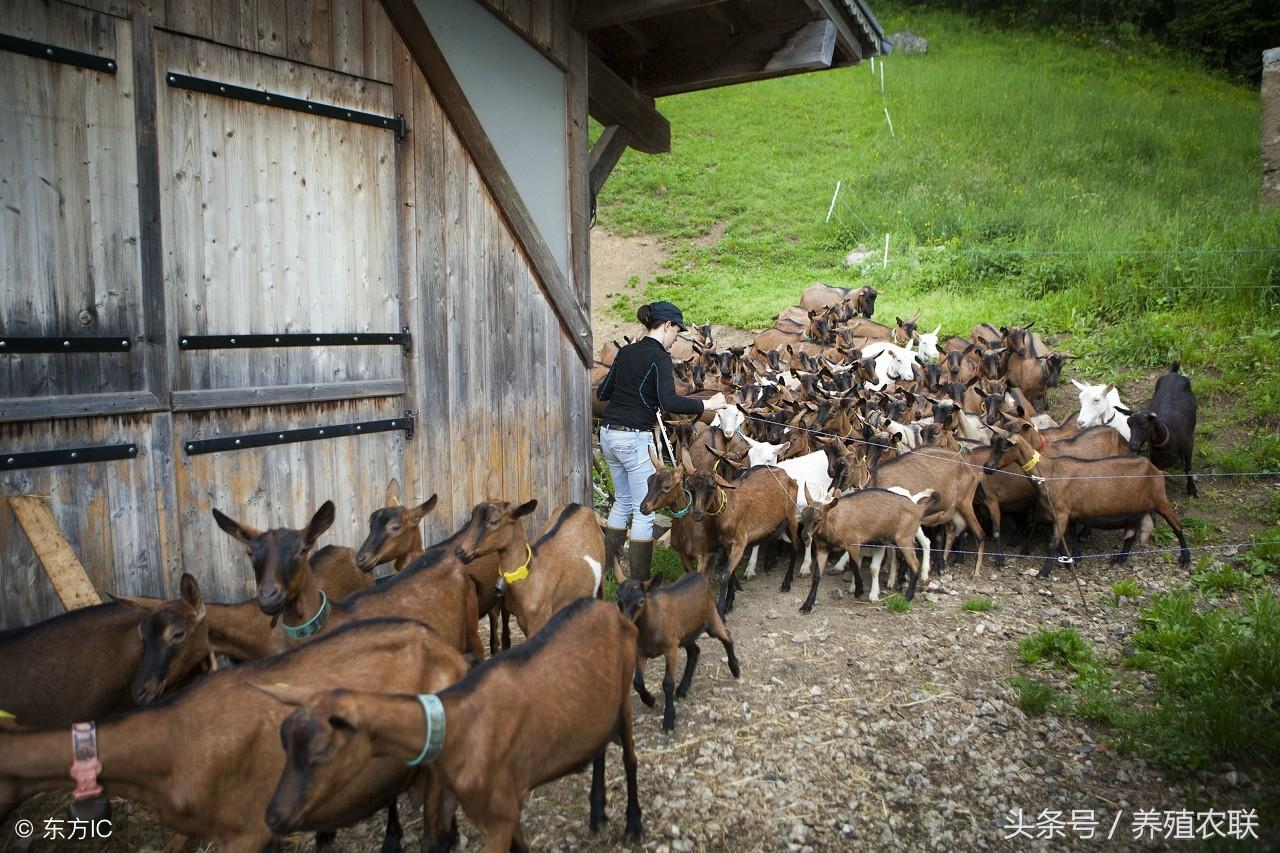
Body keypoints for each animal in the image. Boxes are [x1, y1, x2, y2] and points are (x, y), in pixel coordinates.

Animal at [256, 596, 645, 850]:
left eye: (320, 752)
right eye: (284, 742)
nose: (272, 817)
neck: (454, 724)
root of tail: (612, 610)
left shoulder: (498, 815)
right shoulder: (504, 807)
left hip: (625, 694)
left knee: (629, 758)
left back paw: (634, 825)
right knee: (598, 748)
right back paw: (597, 816)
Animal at [453, 499, 606, 637]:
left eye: (494, 521)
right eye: (472, 519)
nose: (460, 551)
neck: (530, 575)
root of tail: (577, 505)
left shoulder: (539, 619)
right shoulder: (523, 621)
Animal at [616, 571, 742, 722]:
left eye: (641, 601)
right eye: (618, 600)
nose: (625, 625)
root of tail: (699, 574)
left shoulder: (671, 648)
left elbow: (668, 683)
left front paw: (669, 718)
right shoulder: (641, 651)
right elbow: (637, 682)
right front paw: (650, 700)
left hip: (711, 618)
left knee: (727, 637)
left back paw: (735, 669)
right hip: (685, 635)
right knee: (695, 651)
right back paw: (683, 689)